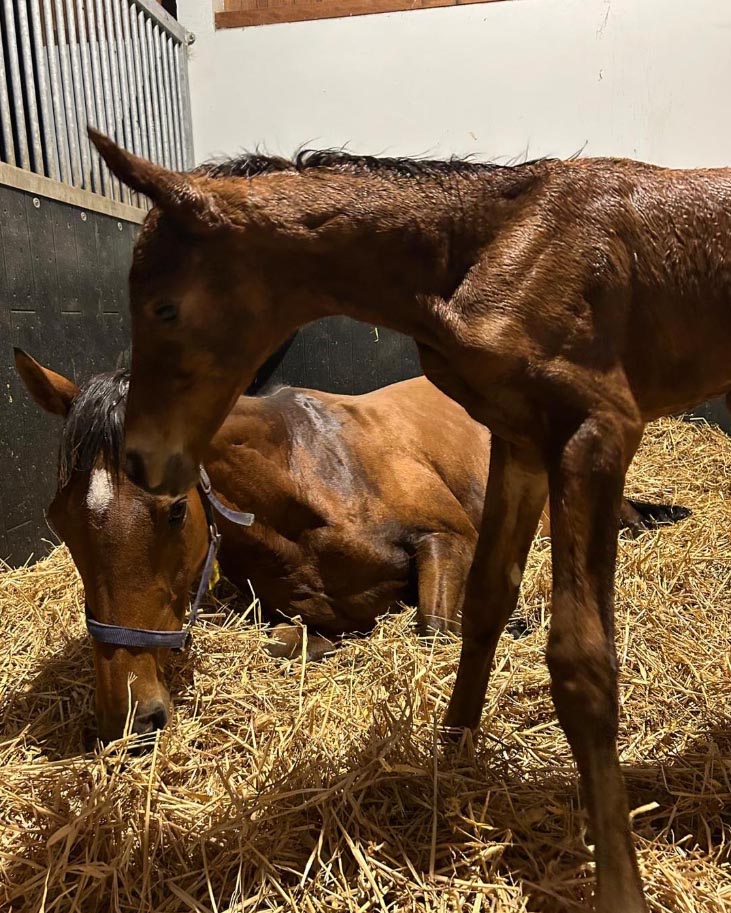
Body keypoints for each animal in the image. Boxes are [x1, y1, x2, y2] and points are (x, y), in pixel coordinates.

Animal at [15, 349, 684, 744]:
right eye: (59, 519)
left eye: (175, 509)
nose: (129, 718)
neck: (305, 470)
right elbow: (292, 640)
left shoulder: (448, 539)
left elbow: (433, 629)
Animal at [87, 130, 727, 911]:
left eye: (164, 308)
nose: (142, 458)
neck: (489, 246)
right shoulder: (519, 439)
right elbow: (483, 602)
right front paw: (452, 755)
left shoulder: (597, 433)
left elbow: (580, 661)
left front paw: (619, 886)